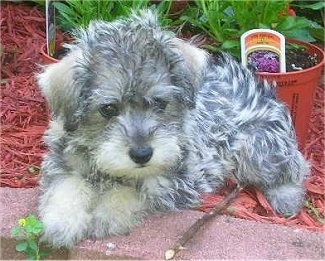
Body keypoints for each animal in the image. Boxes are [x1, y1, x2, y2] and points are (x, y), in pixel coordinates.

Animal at [36, 9, 308, 246]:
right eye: (108, 109)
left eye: (160, 103)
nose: (142, 154)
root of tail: (263, 90)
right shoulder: (63, 162)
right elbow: (67, 185)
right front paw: (61, 221)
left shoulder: (180, 180)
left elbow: (137, 190)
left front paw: (108, 213)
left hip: (256, 150)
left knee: (296, 167)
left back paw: (287, 197)